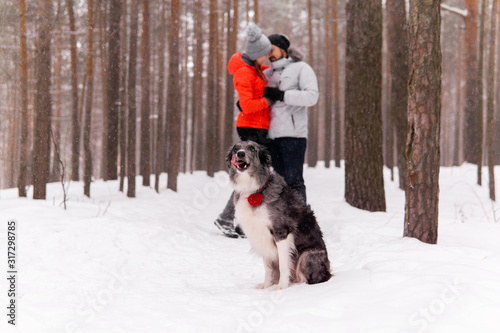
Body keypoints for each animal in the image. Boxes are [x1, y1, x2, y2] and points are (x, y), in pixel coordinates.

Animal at [228, 140, 332, 288]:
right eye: (236, 149)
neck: (254, 190)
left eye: (252, 148)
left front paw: (281, 287)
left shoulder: (282, 231)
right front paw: (266, 286)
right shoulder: (259, 235)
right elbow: (268, 266)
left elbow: (284, 264)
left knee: (314, 278)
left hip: (308, 255)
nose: (240, 154)